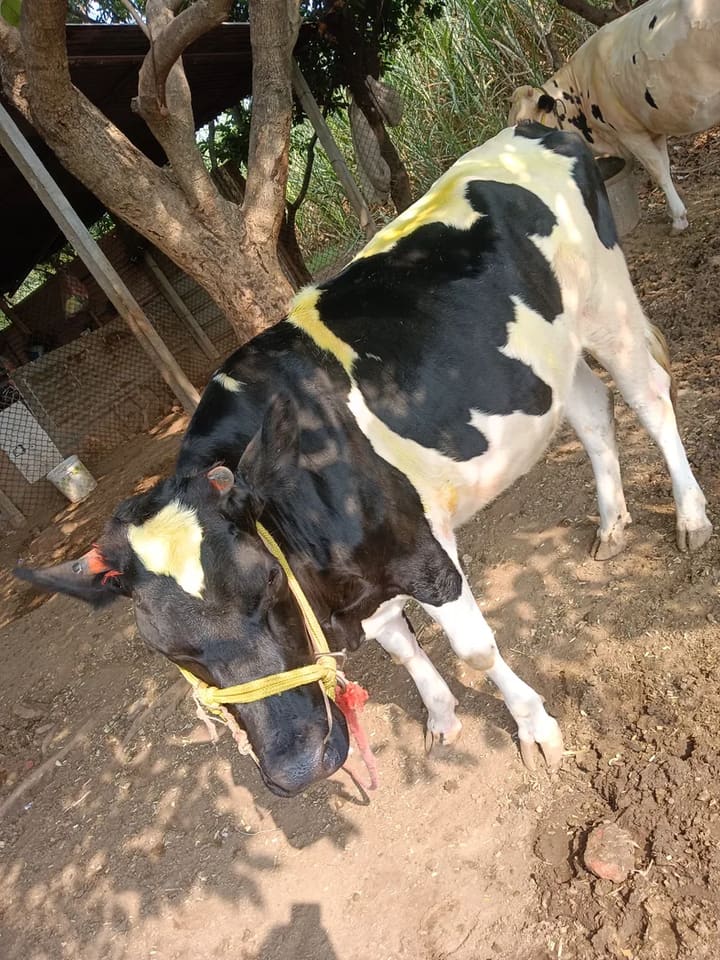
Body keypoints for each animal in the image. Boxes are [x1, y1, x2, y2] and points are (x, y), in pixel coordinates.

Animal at [15, 123, 712, 798]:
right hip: (549, 358)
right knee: (593, 411)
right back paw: (612, 526)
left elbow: (474, 649)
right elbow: (403, 650)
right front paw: (441, 718)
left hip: (607, 306)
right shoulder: (364, 585)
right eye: (167, 649)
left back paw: (691, 518)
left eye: (265, 587)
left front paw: (534, 727)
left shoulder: (422, 554)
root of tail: (530, 129)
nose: (298, 769)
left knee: (649, 397)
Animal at [508, 0, 720, 232]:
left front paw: (679, 218)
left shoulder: (629, 132)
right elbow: (664, 164)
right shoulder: (652, 128)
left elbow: (657, 171)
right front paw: (672, 212)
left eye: (525, 122)